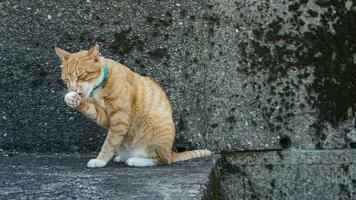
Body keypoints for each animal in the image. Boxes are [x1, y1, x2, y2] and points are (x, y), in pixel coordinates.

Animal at [55, 44, 211, 167]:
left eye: (81, 76)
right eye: (66, 80)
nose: (72, 89)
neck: (99, 87)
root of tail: (171, 151)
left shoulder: (120, 118)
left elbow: (109, 143)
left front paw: (100, 160)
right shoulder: (107, 118)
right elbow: (91, 110)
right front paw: (71, 99)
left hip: (156, 131)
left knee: (162, 161)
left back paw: (136, 160)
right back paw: (123, 157)